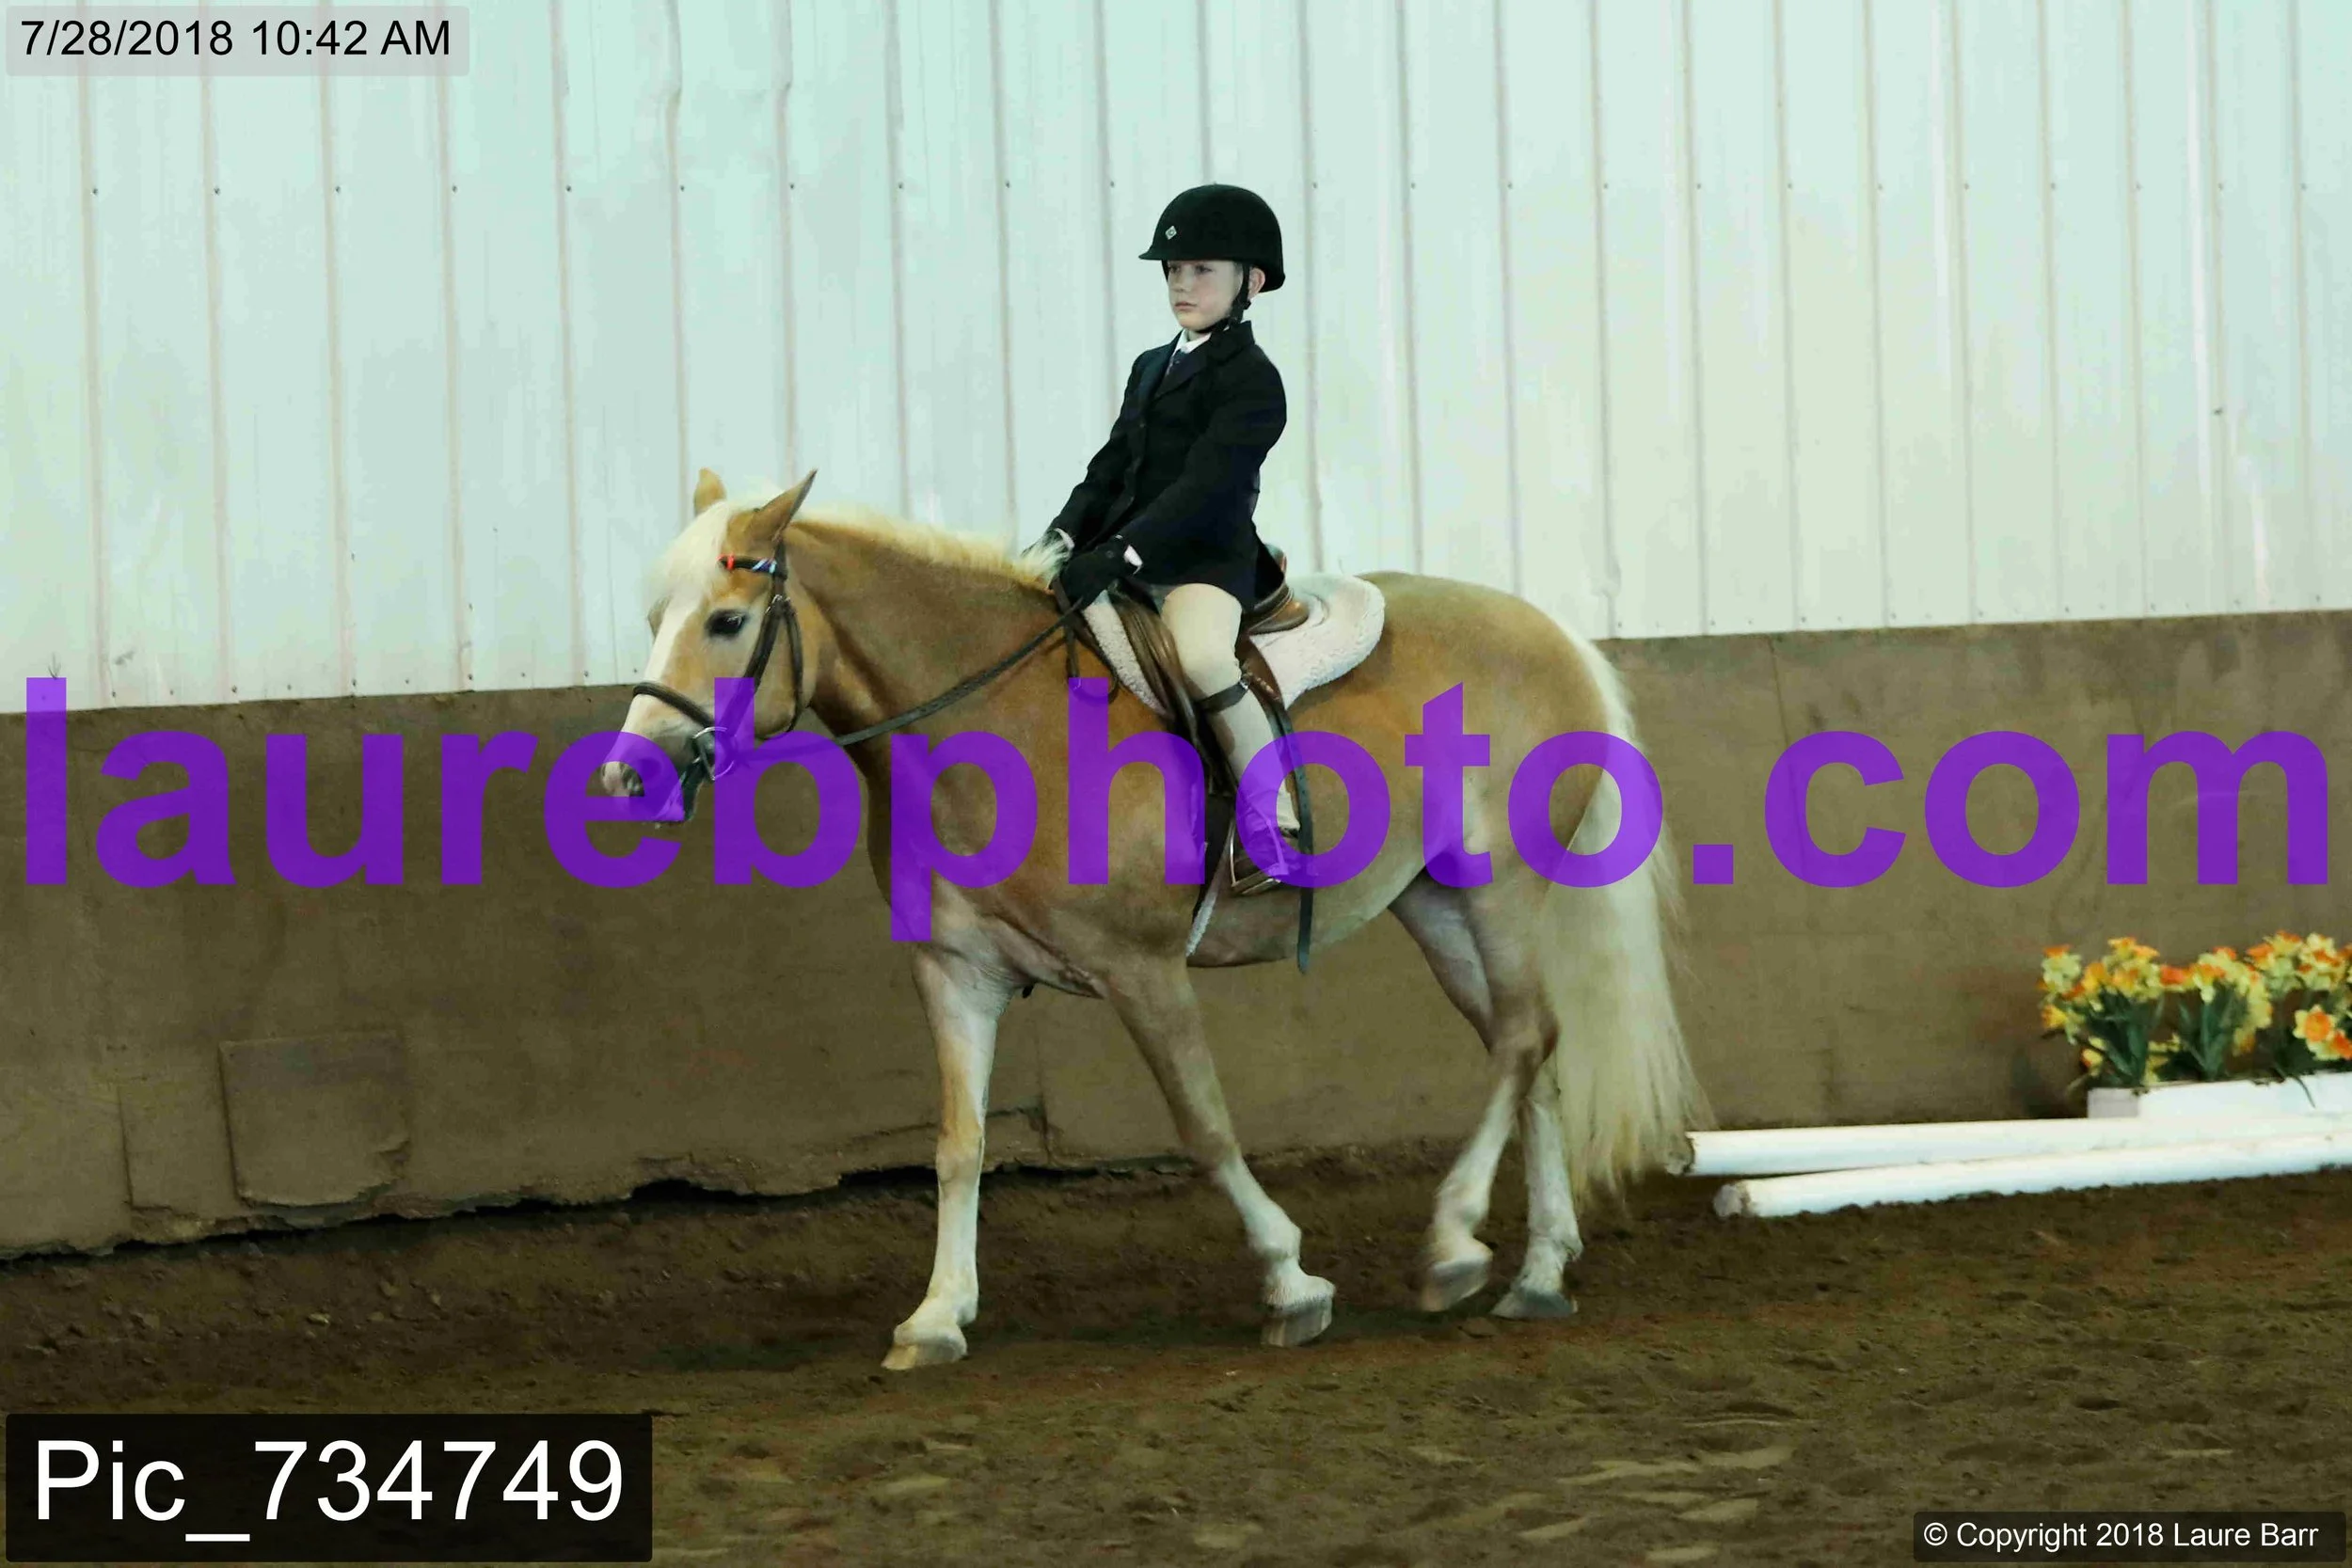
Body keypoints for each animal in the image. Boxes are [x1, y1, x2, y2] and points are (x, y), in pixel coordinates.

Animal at [598, 467, 1708, 1370]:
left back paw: (1450, 1246)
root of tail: (1549, 632)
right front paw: (936, 1317)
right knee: (1532, 1047)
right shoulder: (956, 972)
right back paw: (1536, 1270)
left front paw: (1291, 1282)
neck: (995, 728)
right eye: (653, 613)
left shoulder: (1142, 968)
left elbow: (1203, 1124)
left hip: (1499, 886)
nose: (631, 775)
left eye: (726, 622)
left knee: (1521, 1036)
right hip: (1433, 903)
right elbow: (959, 1145)